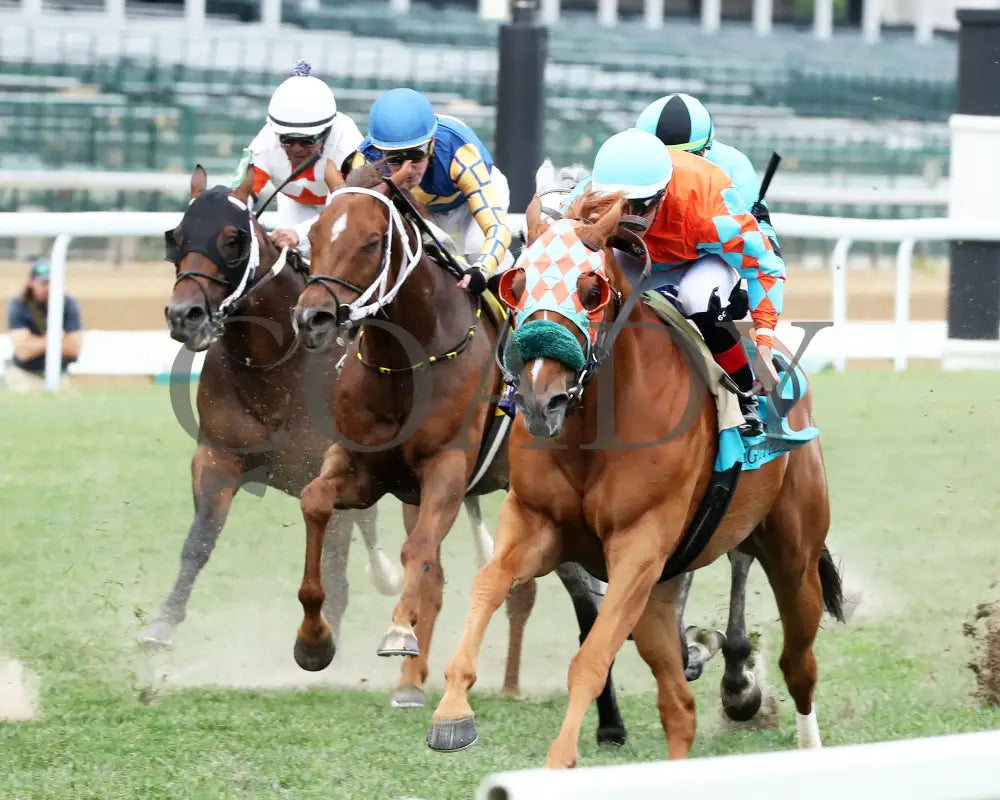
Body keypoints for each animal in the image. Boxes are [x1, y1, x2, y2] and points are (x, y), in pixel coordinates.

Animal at [139, 162, 396, 648]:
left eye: (232, 239)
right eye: (176, 235)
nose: (184, 315)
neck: (277, 369)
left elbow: (335, 572)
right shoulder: (218, 456)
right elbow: (199, 541)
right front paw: (162, 622)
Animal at [284, 159, 624, 736]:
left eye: (372, 241)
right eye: (314, 234)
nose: (312, 318)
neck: (406, 364)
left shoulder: (446, 468)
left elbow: (418, 552)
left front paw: (398, 633)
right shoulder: (366, 469)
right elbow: (316, 502)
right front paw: (313, 642)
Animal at [428, 192, 844, 768]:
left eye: (591, 290)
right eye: (519, 283)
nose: (538, 400)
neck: (595, 429)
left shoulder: (638, 546)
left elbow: (591, 656)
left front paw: (560, 758)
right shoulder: (538, 524)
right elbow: (490, 583)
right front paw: (451, 713)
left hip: (793, 556)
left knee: (798, 664)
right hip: (661, 592)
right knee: (680, 706)